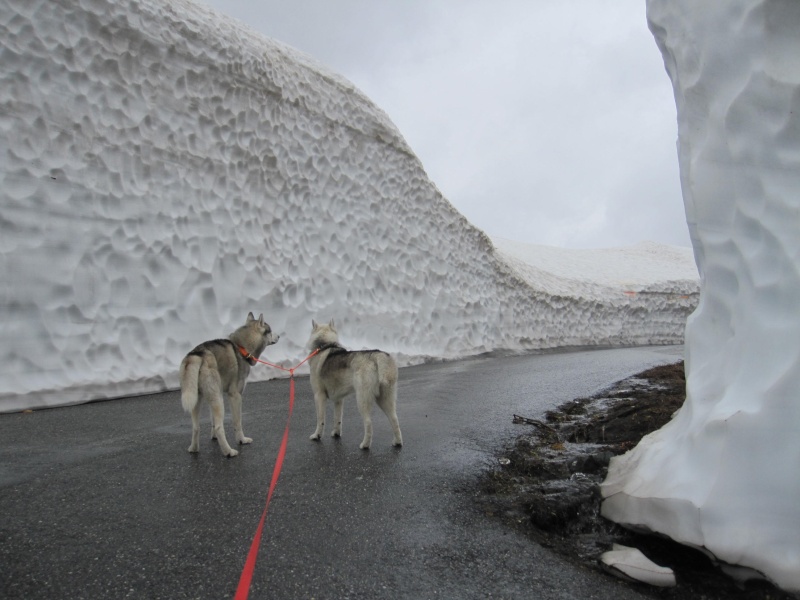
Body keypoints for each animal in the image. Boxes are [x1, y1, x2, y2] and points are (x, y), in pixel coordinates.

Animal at [180, 312, 280, 458]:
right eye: (270, 331)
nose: (279, 336)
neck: (241, 347)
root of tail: (198, 353)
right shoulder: (235, 395)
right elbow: (237, 422)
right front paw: (241, 440)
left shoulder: (214, 397)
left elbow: (212, 421)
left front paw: (214, 437)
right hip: (218, 400)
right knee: (219, 427)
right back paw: (228, 451)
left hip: (197, 400)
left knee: (196, 427)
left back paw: (194, 448)